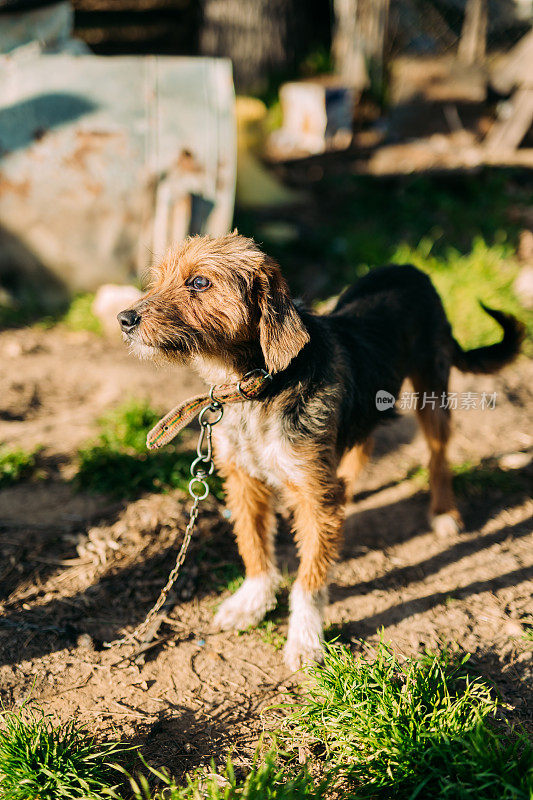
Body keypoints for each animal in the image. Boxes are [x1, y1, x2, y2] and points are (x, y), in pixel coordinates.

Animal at [117, 231, 524, 668]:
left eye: (199, 283)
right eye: (157, 280)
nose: (124, 319)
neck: (258, 385)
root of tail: (409, 268)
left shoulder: (314, 496)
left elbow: (308, 578)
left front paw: (305, 638)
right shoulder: (244, 481)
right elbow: (254, 546)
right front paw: (252, 600)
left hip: (433, 392)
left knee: (437, 457)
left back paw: (444, 512)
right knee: (363, 446)